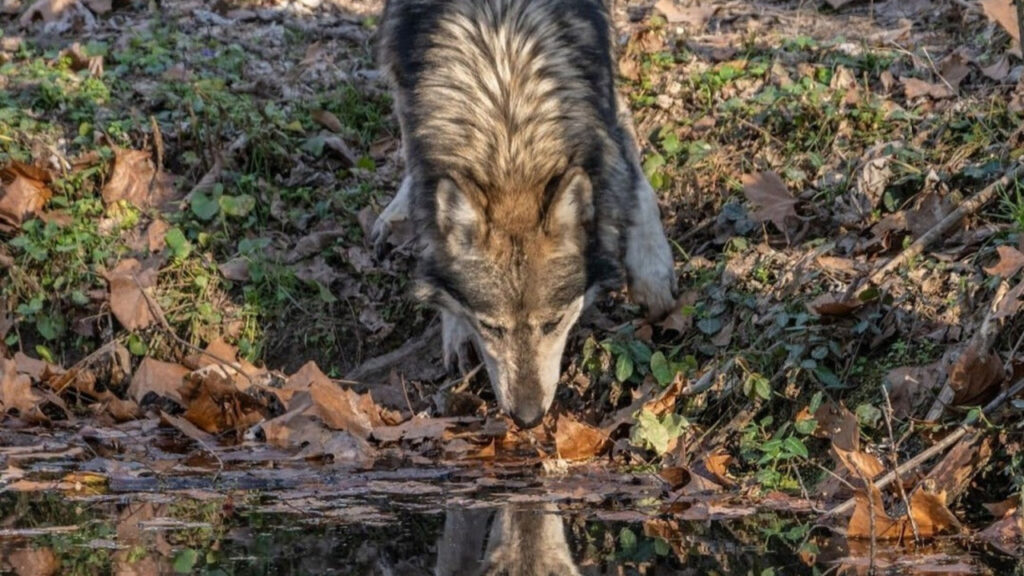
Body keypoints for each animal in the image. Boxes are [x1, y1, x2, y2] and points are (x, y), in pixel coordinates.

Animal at [374, 0, 676, 428]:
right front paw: (456, 327)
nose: (528, 418)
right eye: (490, 327)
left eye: (553, 323)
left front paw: (651, 268)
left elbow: (631, 175)